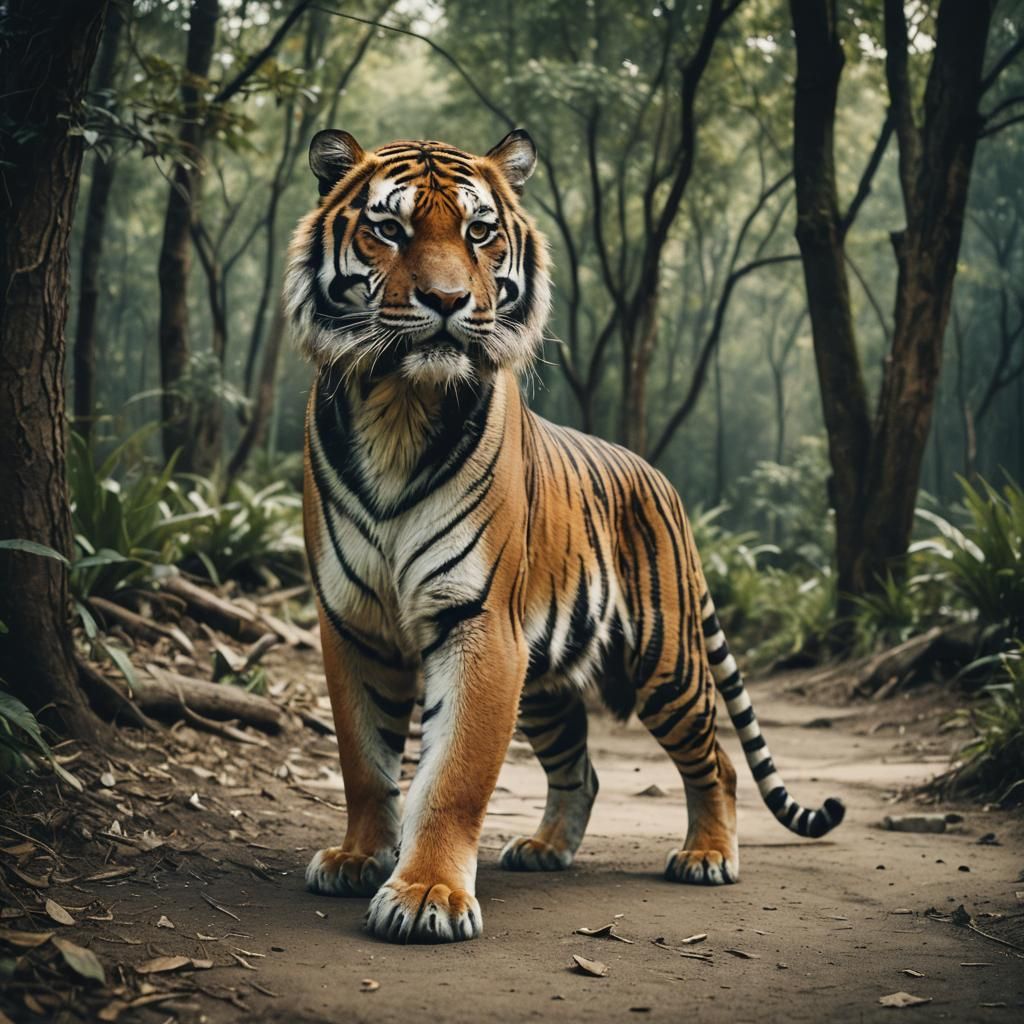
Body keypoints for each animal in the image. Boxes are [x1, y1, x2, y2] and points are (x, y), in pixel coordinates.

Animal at [285, 127, 844, 945]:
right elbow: (364, 760)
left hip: (664, 661)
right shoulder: (355, 624)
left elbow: (454, 776)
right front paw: (359, 857)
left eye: (479, 232)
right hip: (547, 678)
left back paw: (708, 854)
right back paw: (546, 847)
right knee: (582, 767)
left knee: (717, 755)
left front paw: (426, 895)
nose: (447, 302)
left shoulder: (480, 622)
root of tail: (663, 481)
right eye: (389, 229)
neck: (399, 405)